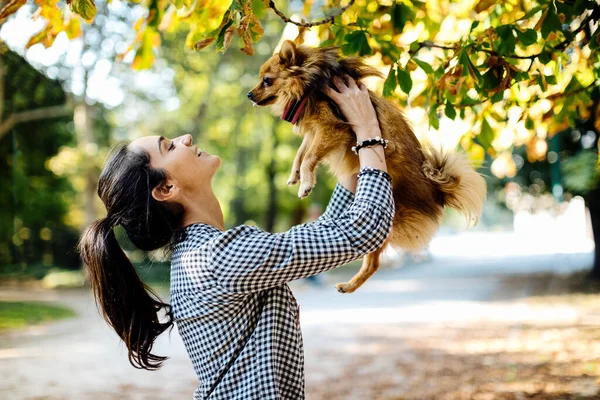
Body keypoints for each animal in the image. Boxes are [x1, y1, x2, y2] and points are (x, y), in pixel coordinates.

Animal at [248, 39, 488, 294]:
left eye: (267, 80)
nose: (249, 94)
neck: (309, 83)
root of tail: (437, 191)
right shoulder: (315, 130)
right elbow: (301, 153)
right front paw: (295, 174)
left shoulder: (330, 128)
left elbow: (309, 156)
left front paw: (305, 182)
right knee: (374, 263)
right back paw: (350, 286)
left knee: (373, 258)